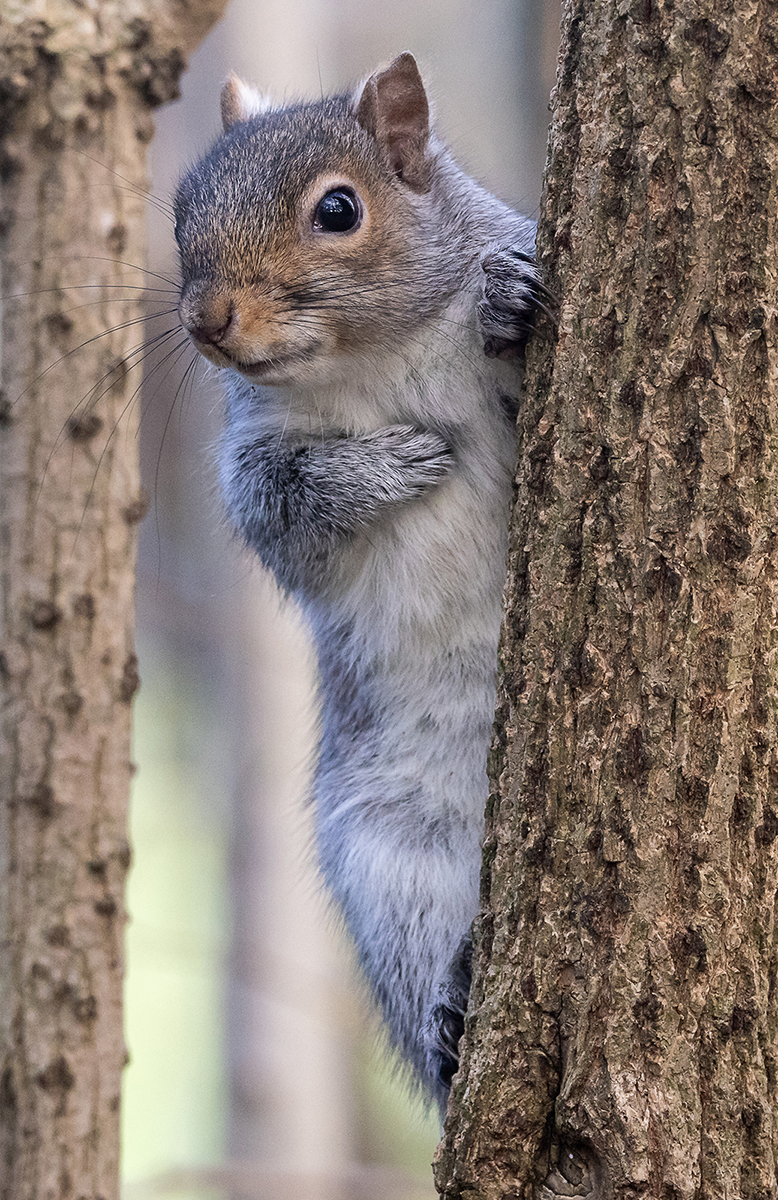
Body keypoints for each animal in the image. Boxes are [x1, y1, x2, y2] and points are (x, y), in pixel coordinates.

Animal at [174, 52, 542, 1114]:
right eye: (181, 210)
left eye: (338, 210)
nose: (207, 322)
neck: (369, 361)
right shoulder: (253, 458)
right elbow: (286, 512)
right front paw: (389, 467)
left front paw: (509, 300)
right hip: (392, 868)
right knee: (419, 964)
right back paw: (450, 1020)